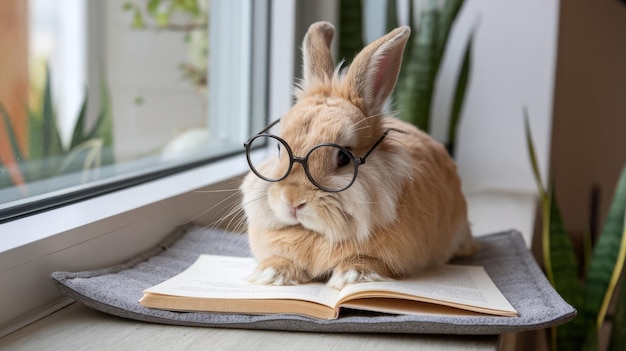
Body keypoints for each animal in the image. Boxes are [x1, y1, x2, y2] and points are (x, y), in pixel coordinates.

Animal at [240, 22, 478, 292]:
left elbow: (366, 260)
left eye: (343, 157)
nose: (292, 200)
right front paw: (271, 274)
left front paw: (351, 276)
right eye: (281, 150)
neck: (316, 233)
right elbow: (279, 259)